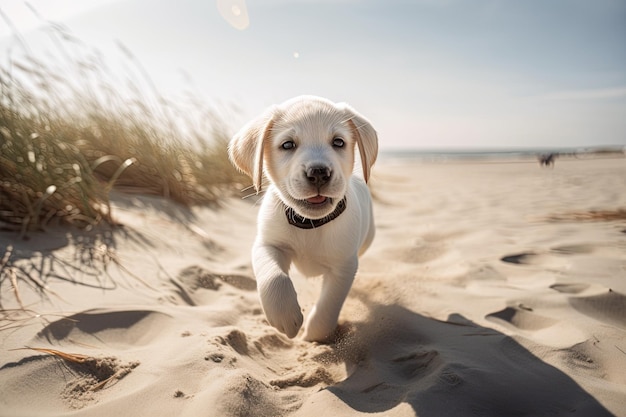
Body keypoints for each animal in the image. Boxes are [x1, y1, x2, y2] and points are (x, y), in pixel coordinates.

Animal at [228, 95, 376, 342]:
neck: (309, 224)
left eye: (338, 142)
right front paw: (285, 316)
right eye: (288, 145)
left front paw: (313, 335)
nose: (318, 173)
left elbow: (328, 306)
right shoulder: (267, 244)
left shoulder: (344, 266)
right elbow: (274, 277)